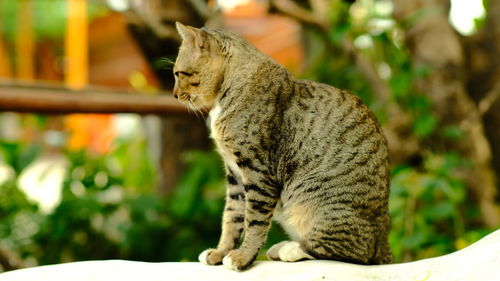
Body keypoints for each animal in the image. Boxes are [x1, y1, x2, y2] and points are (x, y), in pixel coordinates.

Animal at [174, 22, 392, 272]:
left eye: (179, 73)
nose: (174, 94)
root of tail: (383, 240)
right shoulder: (234, 173)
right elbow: (231, 217)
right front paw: (221, 252)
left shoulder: (258, 171)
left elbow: (254, 220)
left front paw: (242, 256)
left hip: (316, 202)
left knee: (355, 252)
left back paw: (292, 249)